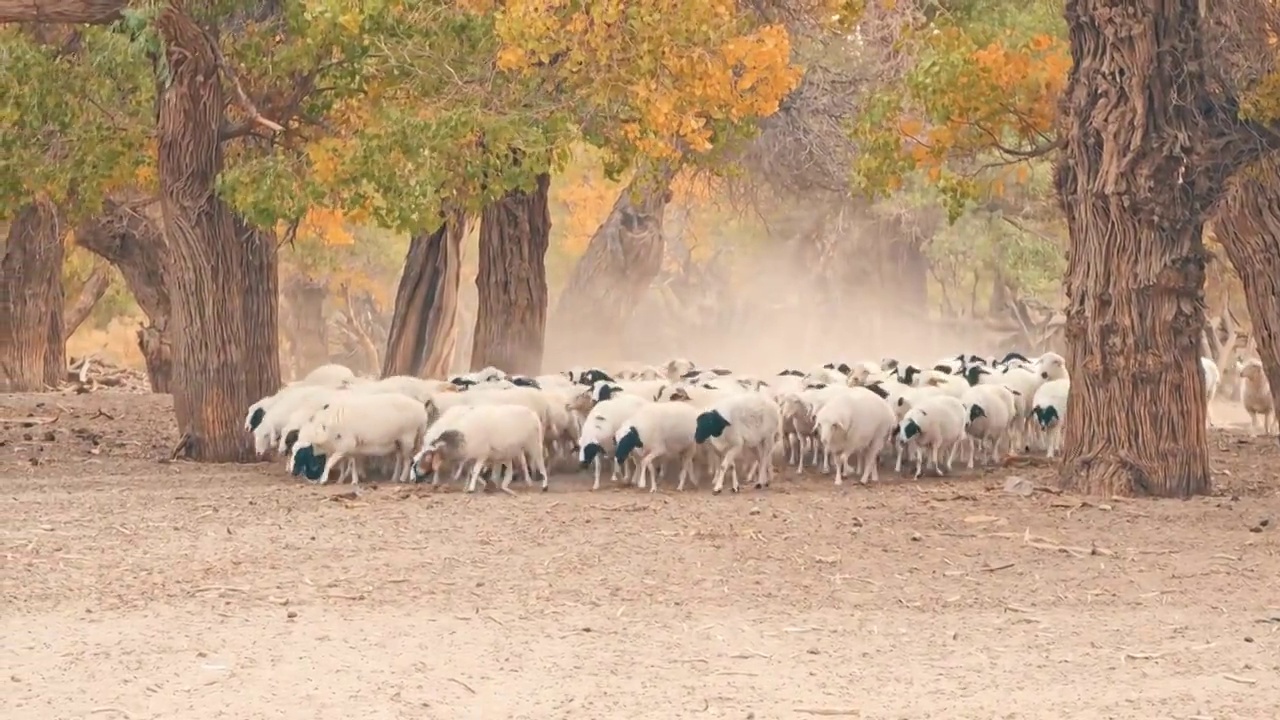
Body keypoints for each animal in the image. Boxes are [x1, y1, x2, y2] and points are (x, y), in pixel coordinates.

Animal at [290, 389, 430, 484]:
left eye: (302, 453)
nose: (292, 472)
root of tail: (421, 408)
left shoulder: (345, 445)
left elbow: (330, 462)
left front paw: (324, 480)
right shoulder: (349, 448)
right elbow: (352, 463)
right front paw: (352, 480)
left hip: (408, 438)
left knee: (408, 459)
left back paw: (402, 478)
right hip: (398, 441)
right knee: (400, 458)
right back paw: (394, 478)